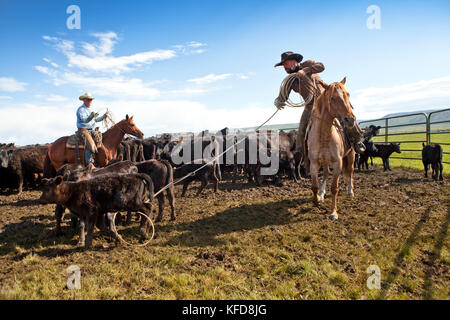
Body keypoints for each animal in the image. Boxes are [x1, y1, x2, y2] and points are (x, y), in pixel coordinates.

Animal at [308, 77, 356, 220]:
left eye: (348, 95)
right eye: (332, 98)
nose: (350, 119)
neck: (323, 136)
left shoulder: (337, 163)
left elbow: (335, 188)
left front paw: (334, 212)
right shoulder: (314, 163)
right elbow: (314, 186)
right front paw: (317, 199)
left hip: (351, 156)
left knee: (350, 172)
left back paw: (350, 191)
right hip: (325, 162)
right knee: (325, 174)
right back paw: (322, 193)